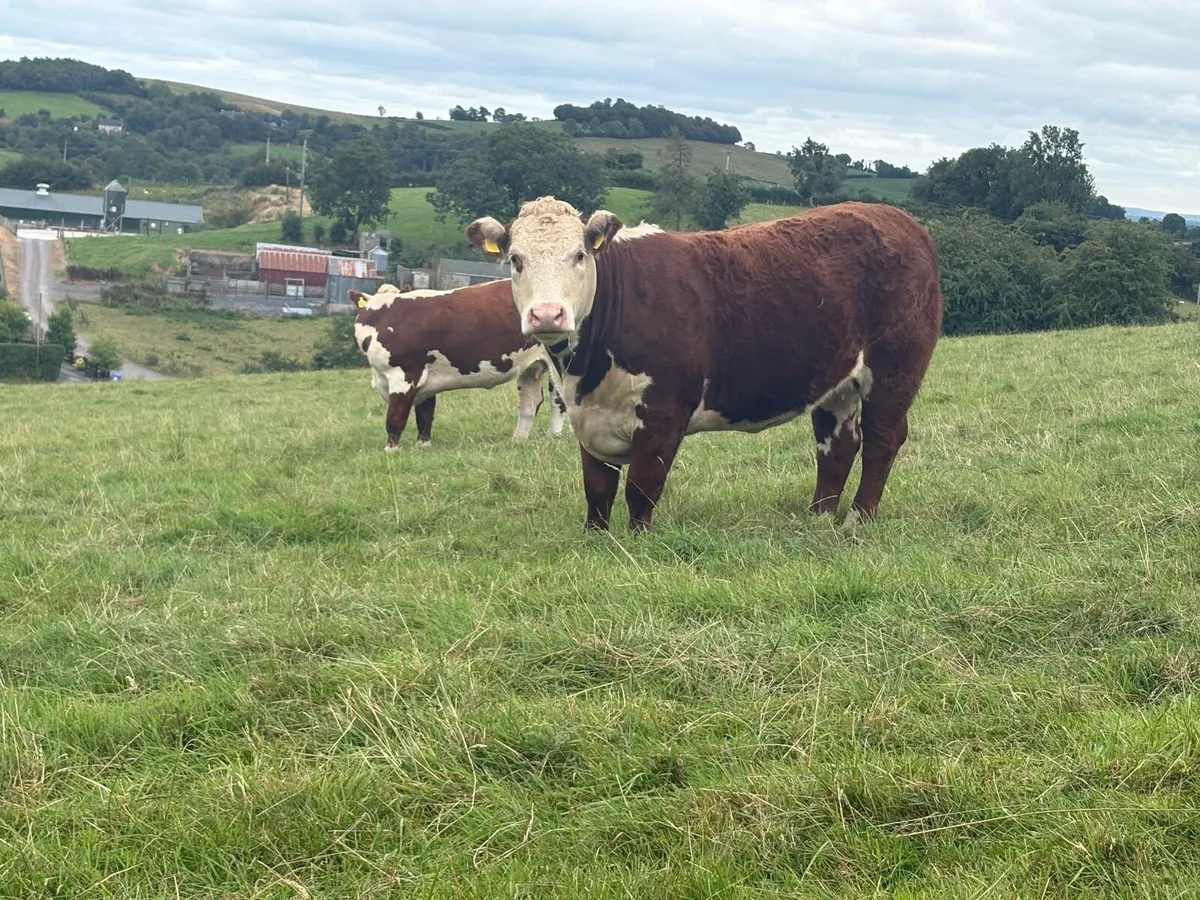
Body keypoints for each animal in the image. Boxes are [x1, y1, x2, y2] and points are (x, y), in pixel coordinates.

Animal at [350, 281, 566, 450]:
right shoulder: (426, 377)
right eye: (367, 316)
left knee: (559, 400)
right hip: (531, 367)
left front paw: (391, 451)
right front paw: (423, 446)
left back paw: (553, 438)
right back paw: (518, 440)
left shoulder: (405, 375)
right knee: (530, 403)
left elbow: (395, 419)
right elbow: (425, 415)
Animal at [466, 197, 942, 532]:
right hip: (836, 380)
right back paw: (818, 517)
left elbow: (641, 486)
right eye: (516, 259)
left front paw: (636, 540)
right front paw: (595, 537)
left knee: (882, 439)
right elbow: (597, 488)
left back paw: (857, 519)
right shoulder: (588, 415)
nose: (547, 314)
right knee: (838, 445)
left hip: (895, 368)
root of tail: (899, 218)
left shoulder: (663, 412)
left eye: (579, 256)